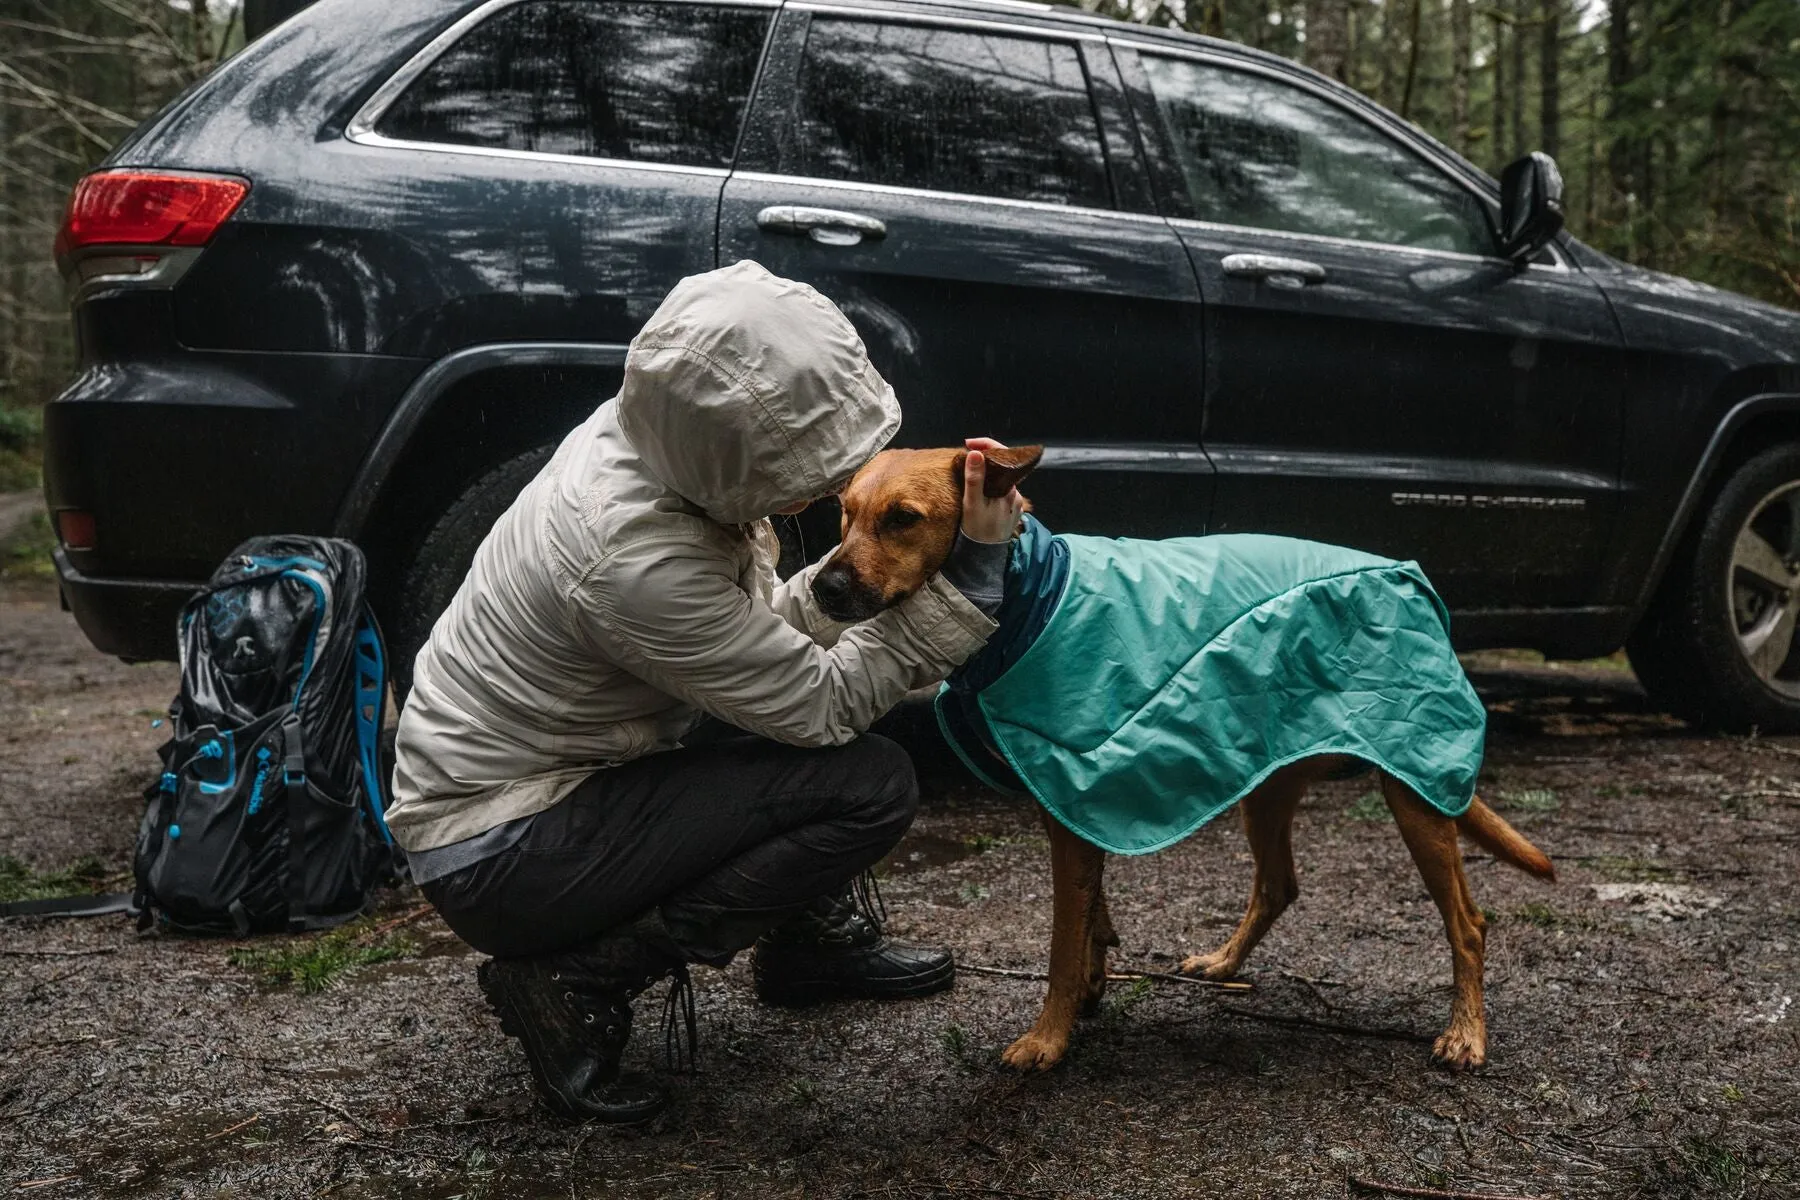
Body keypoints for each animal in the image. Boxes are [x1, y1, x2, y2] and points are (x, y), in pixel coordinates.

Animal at [820, 446, 1562, 1072]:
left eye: (903, 519)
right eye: (844, 513)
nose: (822, 586)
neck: (1031, 588)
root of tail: (1405, 572)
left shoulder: (1070, 815)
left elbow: (1062, 943)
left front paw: (1049, 1036)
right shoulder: (1076, 805)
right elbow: (1091, 922)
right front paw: (1091, 986)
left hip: (1414, 790)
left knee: (1470, 924)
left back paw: (1466, 1034)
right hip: (1268, 785)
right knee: (1278, 887)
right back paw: (1225, 962)